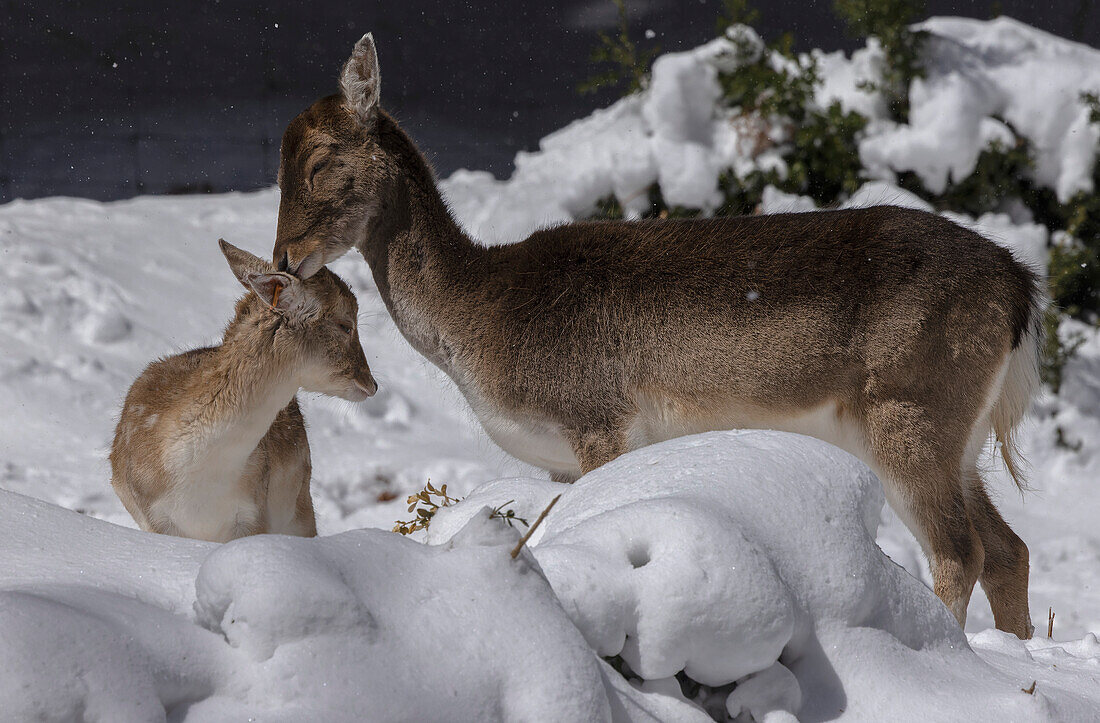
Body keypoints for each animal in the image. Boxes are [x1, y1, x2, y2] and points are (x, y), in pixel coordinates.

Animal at [272, 33, 1038, 633]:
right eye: (275, 166)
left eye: (318, 163)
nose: (282, 260)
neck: (477, 319)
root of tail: (1018, 285)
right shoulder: (555, 457)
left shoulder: (598, 420)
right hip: (960, 438)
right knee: (1009, 549)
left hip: (910, 413)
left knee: (959, 550)